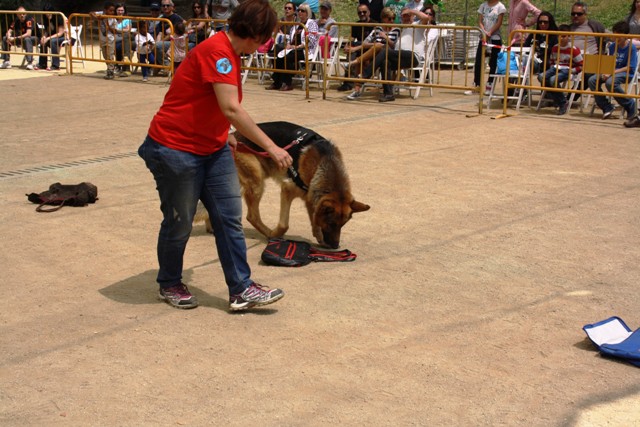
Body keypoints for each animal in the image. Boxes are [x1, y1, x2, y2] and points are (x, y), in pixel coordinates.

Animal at [198, 121, 372, 247]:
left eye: (342, 225)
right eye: (331, 223)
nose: (336, 247)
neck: (325, 162)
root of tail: (232, 136)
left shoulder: (310, 197)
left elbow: (314, 220)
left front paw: (319, 237)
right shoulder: (287, 189)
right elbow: (284, 224)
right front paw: (276, 234)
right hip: (256, 181)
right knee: (252, 216)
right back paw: (269, 233)